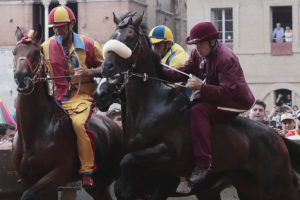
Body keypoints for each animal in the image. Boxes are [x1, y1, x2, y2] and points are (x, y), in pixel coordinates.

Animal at [11, 25, 122, 200]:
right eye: (15, 52)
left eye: (36, 53)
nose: (22, 77)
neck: (36, 131)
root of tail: (113, 126)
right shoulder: (27, 178)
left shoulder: (58, 173)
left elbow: (29, 194)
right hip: (98, 184)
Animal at [98, 11, 300, 200]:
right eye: (112, 36)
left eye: (130, 37)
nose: (106, 68)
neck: (150, 107)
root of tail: (276, 135)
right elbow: (124, 177)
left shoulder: (169, 161)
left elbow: (128, 160)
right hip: (247, 188)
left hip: (276, 186)